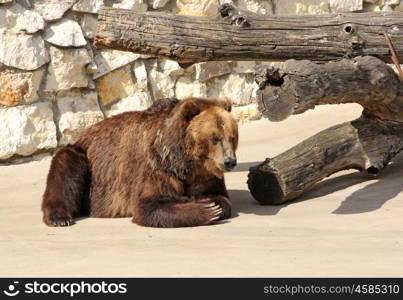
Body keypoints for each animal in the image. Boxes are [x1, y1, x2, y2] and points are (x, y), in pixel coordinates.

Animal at [42, 98, 238, 227]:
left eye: (232, 136)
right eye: (215, 138)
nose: (230, 161)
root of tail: (86, 133)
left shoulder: (206, 174)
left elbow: (221, 198)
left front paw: (210, 203)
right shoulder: (158, 164)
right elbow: (148, 205)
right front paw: (205, 210)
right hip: (87, 163)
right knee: (66, 168)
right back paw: (59, 217)